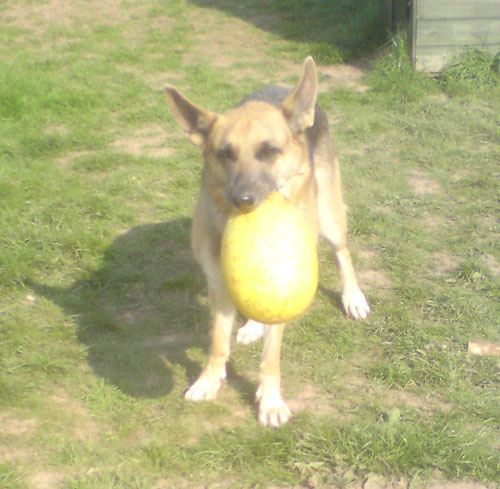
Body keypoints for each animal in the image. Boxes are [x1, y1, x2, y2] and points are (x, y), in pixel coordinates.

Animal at [166, 55, 370, 426]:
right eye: (225, 154)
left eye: (270, 151)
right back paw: (252, 326)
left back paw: (353, 297)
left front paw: (271, 401)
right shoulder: (219, 285)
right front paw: (209, 380)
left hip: (330, 215)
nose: (244, 200)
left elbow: (271, 357)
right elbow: (217, 342)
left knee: (342, 252)